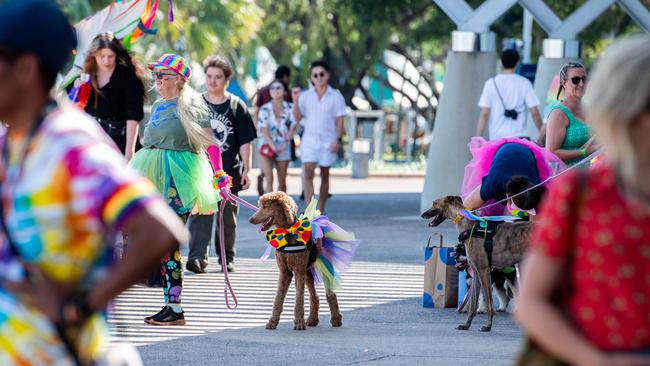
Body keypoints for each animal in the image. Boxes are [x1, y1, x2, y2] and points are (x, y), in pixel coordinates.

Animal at [247, 193, 342, 330]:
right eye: (260, 206)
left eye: (265, 207)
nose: (251, 219)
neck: (287, 233)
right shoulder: (285, 271)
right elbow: (278, 297)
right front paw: (272, 322)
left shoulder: (298, 270)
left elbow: (299, 298)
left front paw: (299, 322)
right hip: (308, 271)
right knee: (314, 296)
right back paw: (312, 319)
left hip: (323, 267)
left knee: (330, 293)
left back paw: (336, 319)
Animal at [420, 197, 532, 332]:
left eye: (434, 203)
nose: (422, 215)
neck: (469, 225)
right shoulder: (476, 272)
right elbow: (473, 303)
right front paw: (466, 325)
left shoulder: (483, 270)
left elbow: (488, 302)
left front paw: (488, 326)